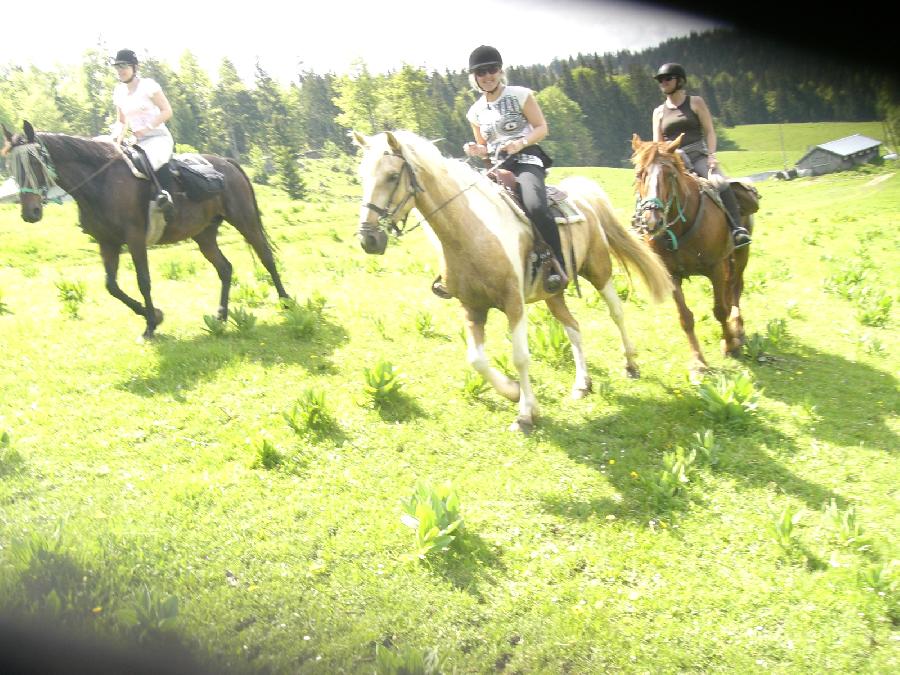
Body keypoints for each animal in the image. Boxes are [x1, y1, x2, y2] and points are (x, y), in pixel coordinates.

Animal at [0, 121, 288, 338]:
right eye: (11, 166)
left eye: (34, 163)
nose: (30, 213)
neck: (101, 183)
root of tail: (227, 162)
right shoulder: (107, 243)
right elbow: (112, 286)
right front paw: (154, 315)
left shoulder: (135, 239)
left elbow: (143, 281)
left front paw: (151, 324)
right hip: (204, 234)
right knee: (225, 268)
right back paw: (221, 315)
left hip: (245, 220)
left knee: (265, 256)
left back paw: (285, 300)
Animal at [350, 131, 668, 434]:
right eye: (362, 177)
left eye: (392, 176)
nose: (369, 238)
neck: (473, 233)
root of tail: (584, 196)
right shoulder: (472, 307)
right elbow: (476, 359)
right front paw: (514, 392)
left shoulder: (514, 303)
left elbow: (520, 357)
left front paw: (526, 414)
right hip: (553, 294)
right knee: (573, 328)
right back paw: (582, 384)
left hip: (599, 271)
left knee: (616, 312)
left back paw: (630, 364)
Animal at [632, 132, 752, 380]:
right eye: (639, 174)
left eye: (670, 175)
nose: (651, 221)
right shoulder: (672, 275)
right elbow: (685, 317)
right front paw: (698, 362)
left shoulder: (715, 267)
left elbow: (720, 310)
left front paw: (730, 344)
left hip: (740, 254)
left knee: (735, 289)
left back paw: (737, 328)